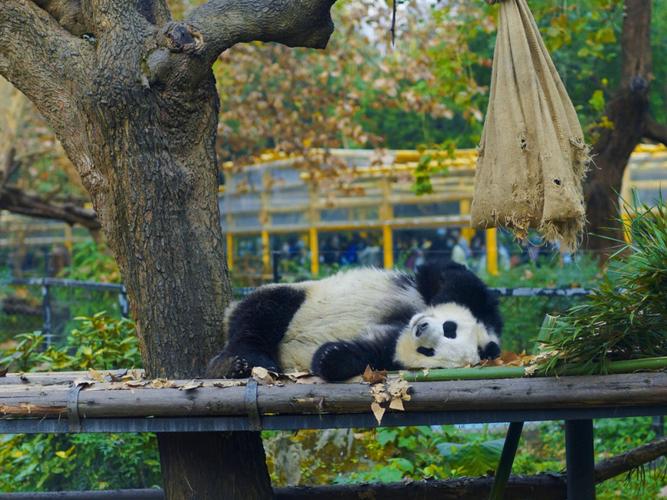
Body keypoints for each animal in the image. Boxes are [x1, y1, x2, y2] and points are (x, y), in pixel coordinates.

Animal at [207, 260, 500, 380]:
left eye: (428, 352)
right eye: (450, 329)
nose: (421, 328)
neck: (402, 324)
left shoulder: (388, 354)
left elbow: (359, 355)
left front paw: (329, 355)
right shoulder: (471, 301)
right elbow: (447, 275)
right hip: (296, 296)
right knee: (263, 313)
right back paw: (237, 363)